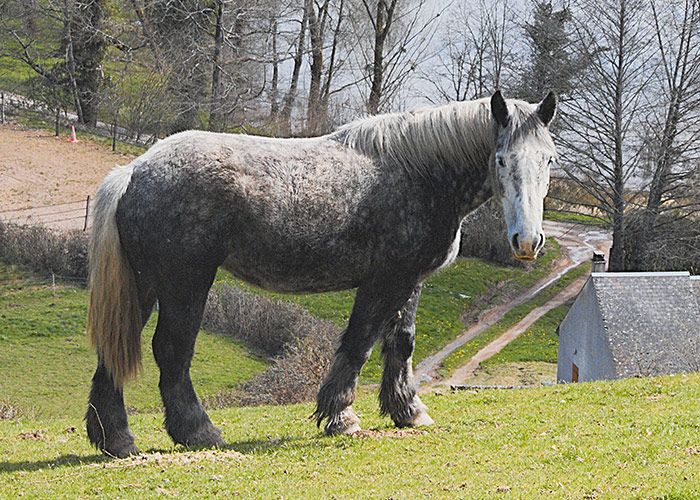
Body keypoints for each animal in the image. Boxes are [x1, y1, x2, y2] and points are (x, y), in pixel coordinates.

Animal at [85, 91, 558, 457]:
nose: (527, 242)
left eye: (549, 160)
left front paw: (407, 410)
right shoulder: (384, 281)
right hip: (186, 284)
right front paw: (341, 415)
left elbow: (401, 344)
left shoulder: (411, 281)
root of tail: (134, 171)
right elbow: (359, 344)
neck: (421, 173)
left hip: (145, 284)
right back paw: (198, 431)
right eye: (501, 159)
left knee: (116, 349)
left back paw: (116, 440)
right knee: (171, 351)